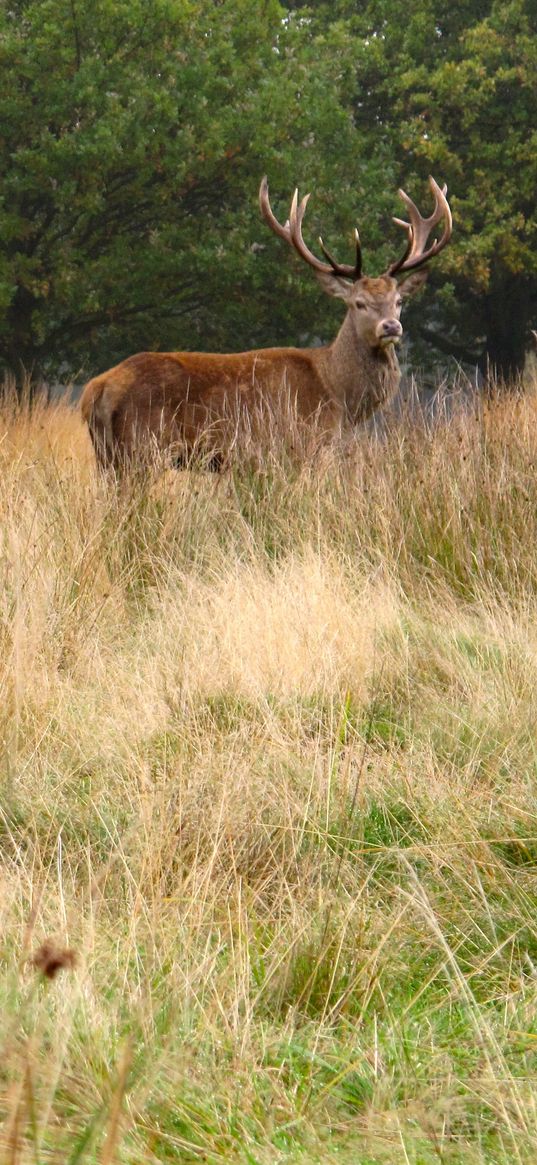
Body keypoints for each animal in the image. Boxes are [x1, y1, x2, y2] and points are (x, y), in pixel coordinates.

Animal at [78, 174, 447, 466]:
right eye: (358, 303)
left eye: (399, 301)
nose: (391, 327)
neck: (337, 394)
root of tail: (96, 391)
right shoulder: (300, 445)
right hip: (143, 447)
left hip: (108, 456)